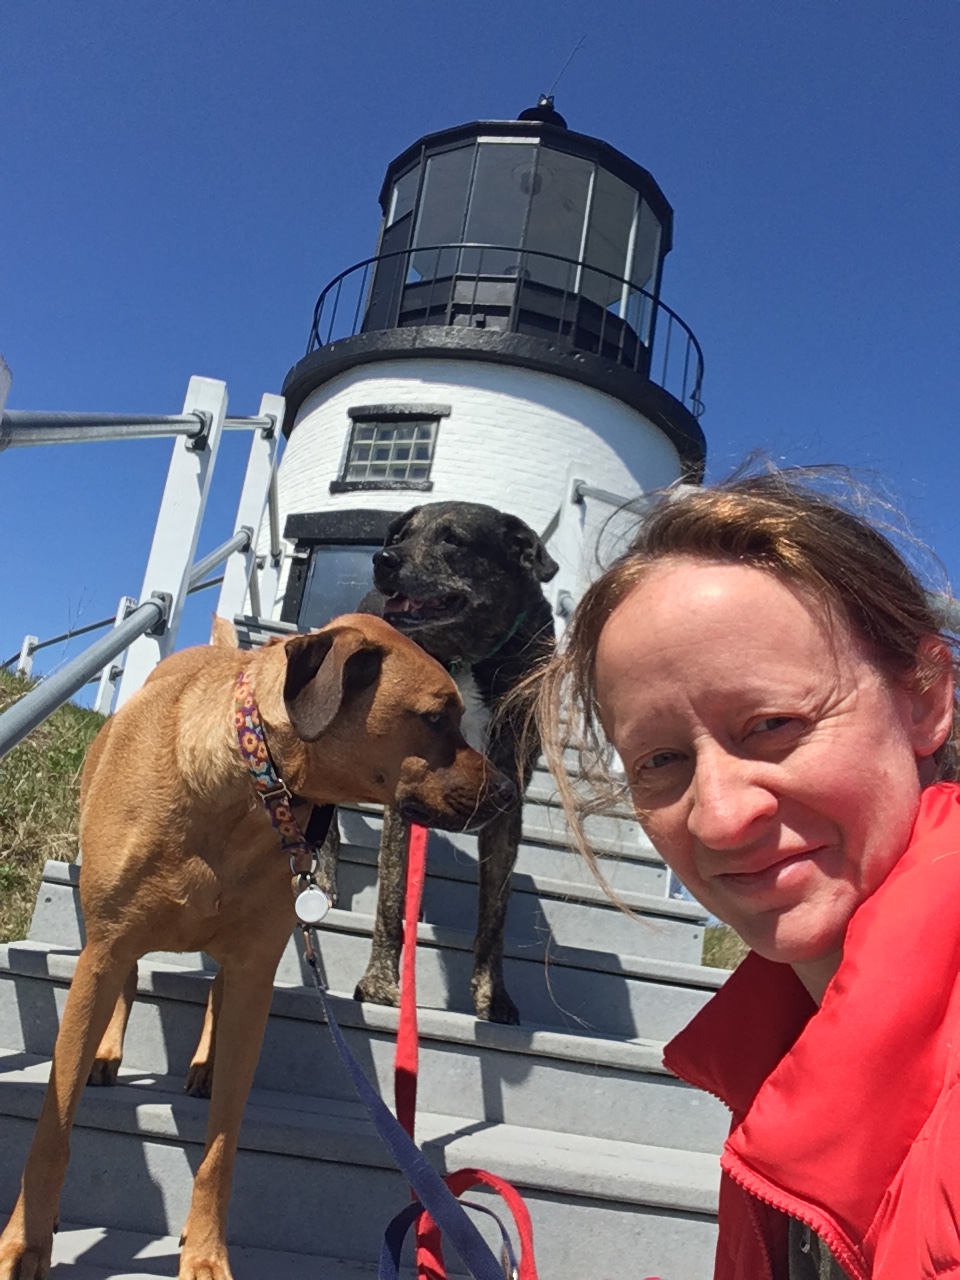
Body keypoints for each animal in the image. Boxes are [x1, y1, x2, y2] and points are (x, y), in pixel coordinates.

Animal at [0, 614, 513, 1280]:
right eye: (436, 717)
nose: (508, 791)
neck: (247, 792)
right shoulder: (104, 950)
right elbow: (53, 1124)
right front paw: (26, 1243)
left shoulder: (255, 975)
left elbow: (222, 1145)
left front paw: (206, 1253)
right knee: (129, 976)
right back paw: (109, 1053)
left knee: (216, 990)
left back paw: (203, 1066)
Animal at [352, 501, 558, 1025]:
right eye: (402, 533)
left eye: (454, 540)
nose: (382, 559)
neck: (465, 658)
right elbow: (390, 899)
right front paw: (380, 983)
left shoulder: (509, 798)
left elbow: (494, 915)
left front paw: (493, 997)